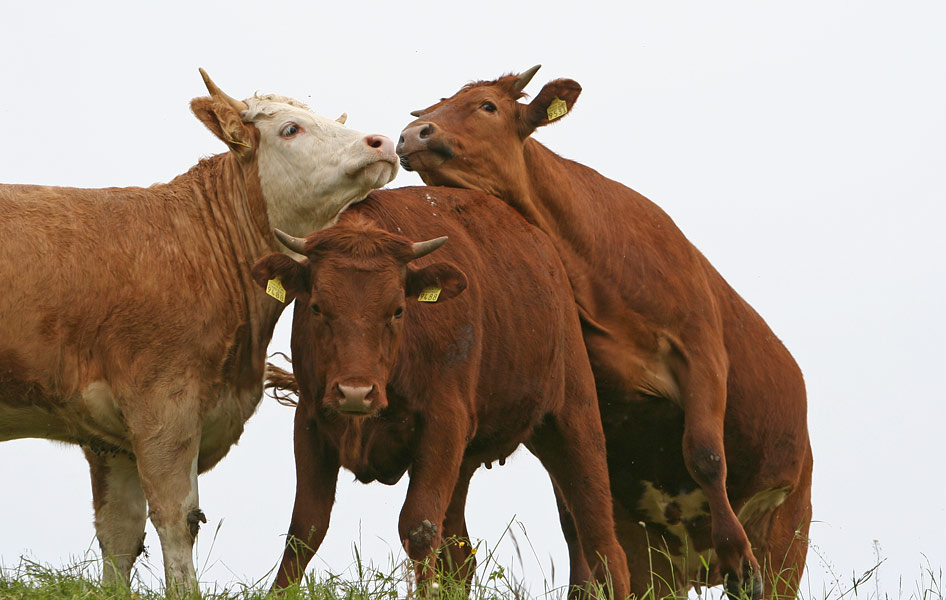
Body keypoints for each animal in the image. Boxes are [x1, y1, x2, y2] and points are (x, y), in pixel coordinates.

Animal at [0, 69, 398, 592]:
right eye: (291, 129)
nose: (383, 142)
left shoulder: (113, 438)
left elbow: (119, 533)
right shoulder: (162, 407)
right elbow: (177, 520)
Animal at [253, 189, 628, 600]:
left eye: (398, 310)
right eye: (318, 307)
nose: (355, 393)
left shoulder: (443, 423)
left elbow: (418, 526)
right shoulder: (310, 420)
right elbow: (305, 527)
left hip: (573, 419)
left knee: (602, 545)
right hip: (464, 460)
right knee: (462, 556)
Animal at [398, 67, 812, 600]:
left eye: (487, 106)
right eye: (429, 110)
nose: (412, 134)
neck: (592, 270)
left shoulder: (702, 348)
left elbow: (704, 453)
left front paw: (738, 558)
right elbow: (575, 513)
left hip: (788, 533)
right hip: (656, 564)